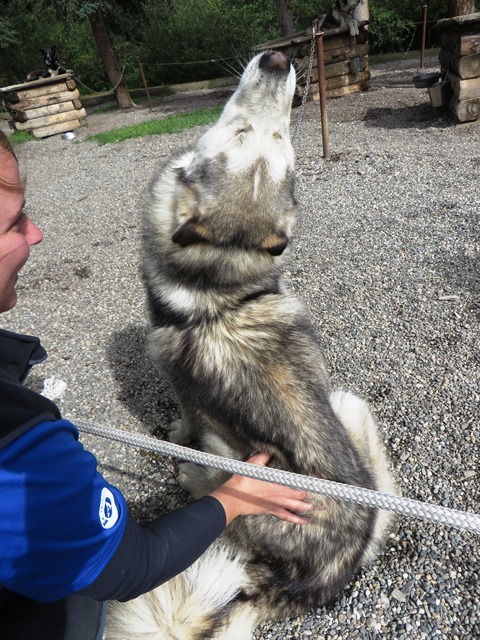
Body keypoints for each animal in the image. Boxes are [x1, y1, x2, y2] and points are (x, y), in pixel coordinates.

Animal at [106, 51, 398, 640]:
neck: (220, 288)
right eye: (240, 132)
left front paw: (174, 438)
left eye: (282, 139)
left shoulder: (182, 386)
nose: (280, 60)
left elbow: (184, 421)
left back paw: (192, 476)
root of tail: (314, 583)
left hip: (233, 463)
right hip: (349, 404)